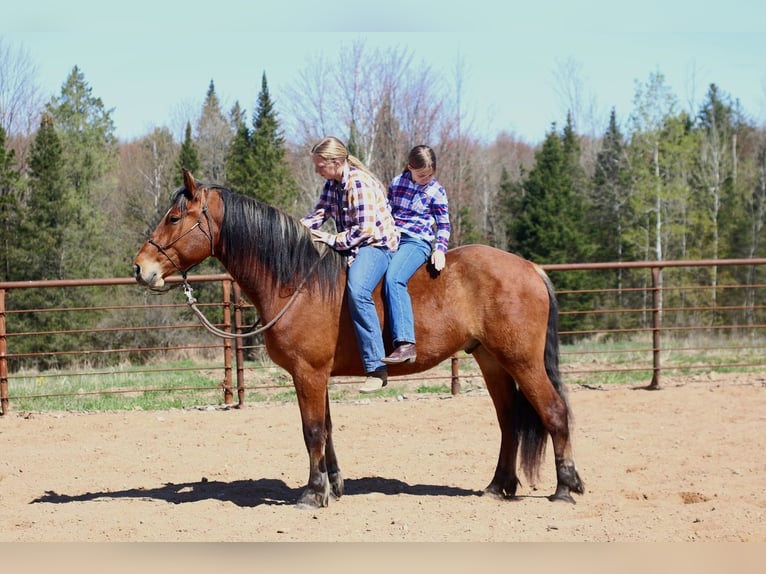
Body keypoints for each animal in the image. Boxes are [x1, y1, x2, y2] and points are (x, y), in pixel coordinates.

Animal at [133, 169, 584, 509]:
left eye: (173, 219)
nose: (140, 268)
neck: (298, 282)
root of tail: (530, 268)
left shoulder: (308, 373)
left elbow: (313, 431)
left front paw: (312, 494)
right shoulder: (317, 375)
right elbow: (328, 430)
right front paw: (333, 486)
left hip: (522, 361)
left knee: (554, 412)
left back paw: (565, 488)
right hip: (491, 360)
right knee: (509, 422)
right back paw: (497, 486)